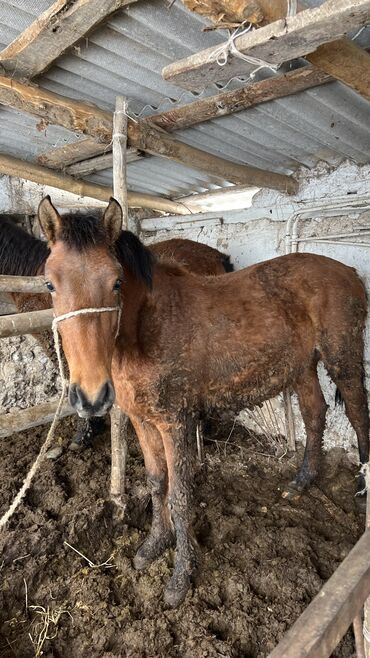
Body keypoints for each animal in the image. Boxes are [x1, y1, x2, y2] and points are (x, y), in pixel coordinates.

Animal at [38, 197, 370, 608]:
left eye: (116, 282)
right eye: (50, 284)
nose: (91, 395)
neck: (149, 326)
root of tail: (348, 271)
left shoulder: (176, 422)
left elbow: (180, 496)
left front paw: (181, 577)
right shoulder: (142, 421)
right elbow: (156, 483)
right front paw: (152, 547)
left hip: (343, 356)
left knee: (358, 413)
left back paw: (362, 489)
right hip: (303, 365)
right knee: (314, 413)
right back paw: (302, 481)